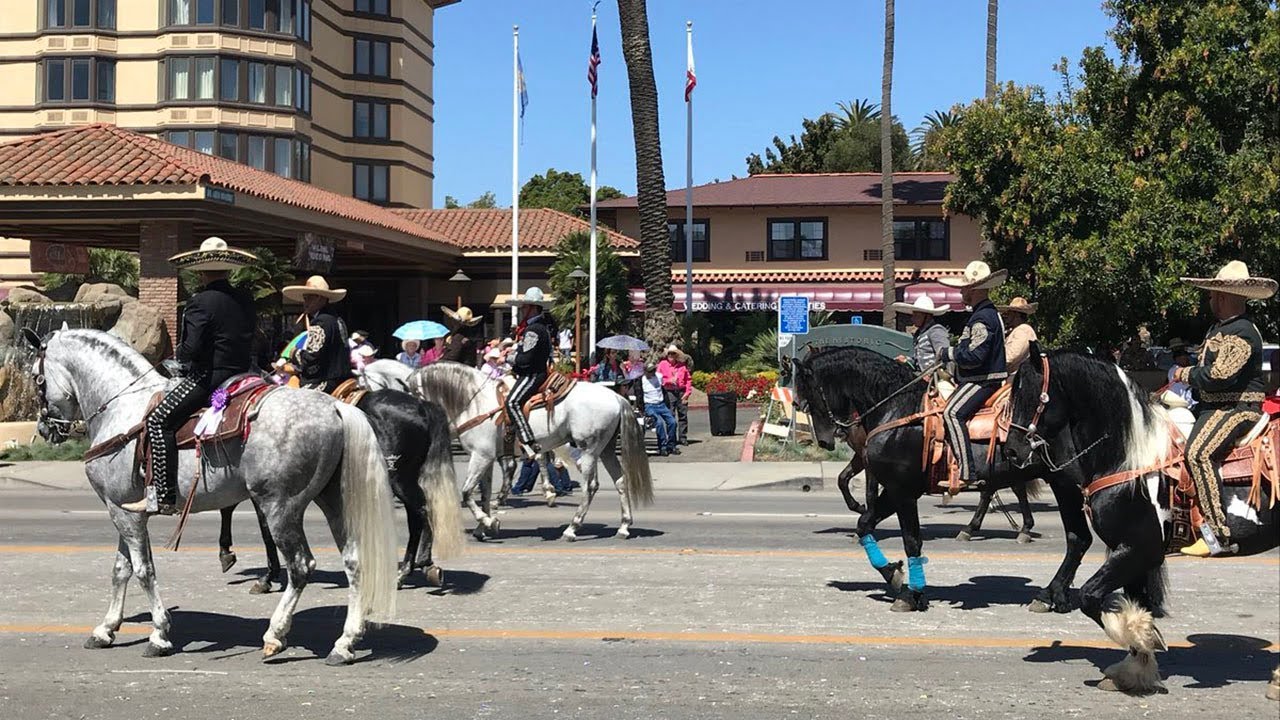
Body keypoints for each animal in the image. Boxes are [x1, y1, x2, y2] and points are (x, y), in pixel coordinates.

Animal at [26, 327, 399, 666]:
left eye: (36, 377)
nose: (45, 428)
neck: (121, 408)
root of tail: (336, 408)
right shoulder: (123, 509)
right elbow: (121, 569)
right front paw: (106, 630)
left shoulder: (126, 514)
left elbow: (143, 570)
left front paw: (159, 634)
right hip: (333, 501)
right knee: (354, 561)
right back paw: (344, 643)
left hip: (280, 508)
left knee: (300, 566)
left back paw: (275, 636)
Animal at [217, 386, 463, 589]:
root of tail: (421, 405)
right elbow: (231, 510)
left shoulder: (265, 491)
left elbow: (260, 527)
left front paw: (262, 573)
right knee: (416, 516)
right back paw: (411, 569)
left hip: (398, 479)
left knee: (422, 510)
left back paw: (419, 565)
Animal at [404, 361, 655, 535]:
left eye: (410, 394)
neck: (473, 402)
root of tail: (616, 396)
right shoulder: (486, 458)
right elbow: (483, 494)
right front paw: (483, 527)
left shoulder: (481, 456)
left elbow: (466, 492)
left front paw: (487, 521)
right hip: (606, 449)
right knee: (620, 481)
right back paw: (624, 526)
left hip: (589, 449)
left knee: (590, 486)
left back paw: (572, 528)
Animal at [788, 345, 1090, 609]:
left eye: (808, 395)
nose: (826, 440)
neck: (899, 409)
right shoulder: (895, 489)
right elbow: (864, 524)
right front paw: (893, 575)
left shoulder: (902, 491)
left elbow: (911, 541)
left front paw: (911, 595)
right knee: (1074, 536)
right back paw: (1050, 590)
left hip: (1066, 484)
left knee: (1077, 537)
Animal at [1003, 351, 1274, 691]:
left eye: (1036, 395)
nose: (1012, 451)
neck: (1128, 460)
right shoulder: (1131, 555)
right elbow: (1135, 603)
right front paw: (1136, 666)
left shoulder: (1139, 550)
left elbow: (1090, 597)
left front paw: (1143, 640)